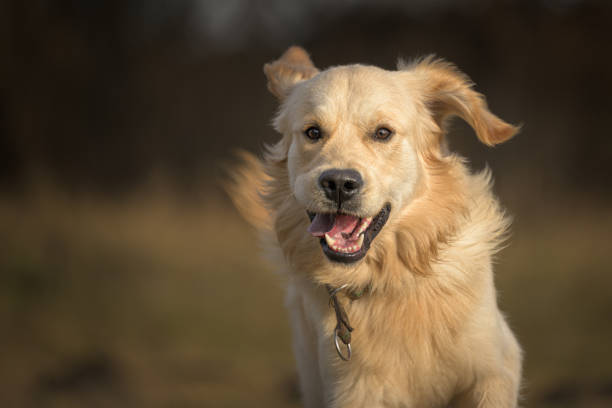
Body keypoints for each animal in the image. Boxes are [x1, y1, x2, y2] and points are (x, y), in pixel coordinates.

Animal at [230, 46, 520, 406]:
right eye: (313, 132)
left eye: (383, 132)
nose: (339, 183)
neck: (393, 277)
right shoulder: (355, 391)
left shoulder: (494, 372)